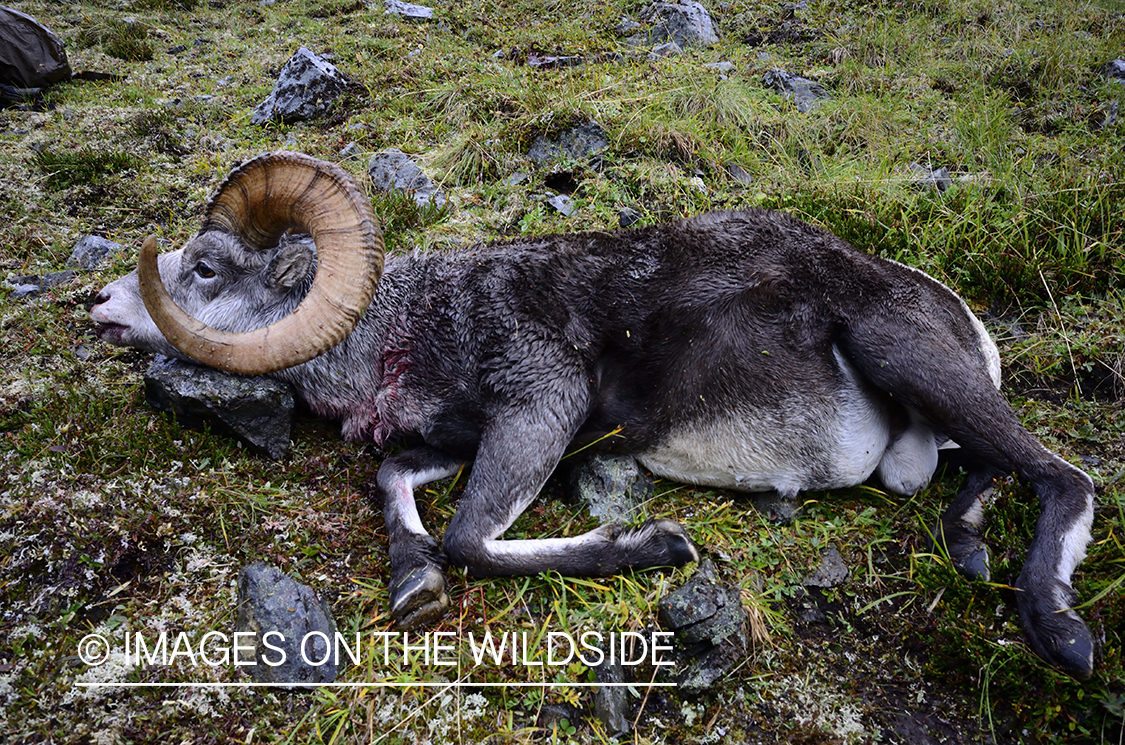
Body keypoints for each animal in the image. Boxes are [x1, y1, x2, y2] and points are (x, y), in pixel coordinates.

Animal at [90, 151, 1096, 679]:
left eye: (206, 267)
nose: (98, 303)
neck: (404, 325)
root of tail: (951, 310)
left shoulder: (543, 407)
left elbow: (469, 538)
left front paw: (652, 545)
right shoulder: (459, 440)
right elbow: (395, 480)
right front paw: (413, 580)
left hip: (908, 355)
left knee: (1065, 477)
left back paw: (1059, 628)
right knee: (985, 469)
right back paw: (966, 547)